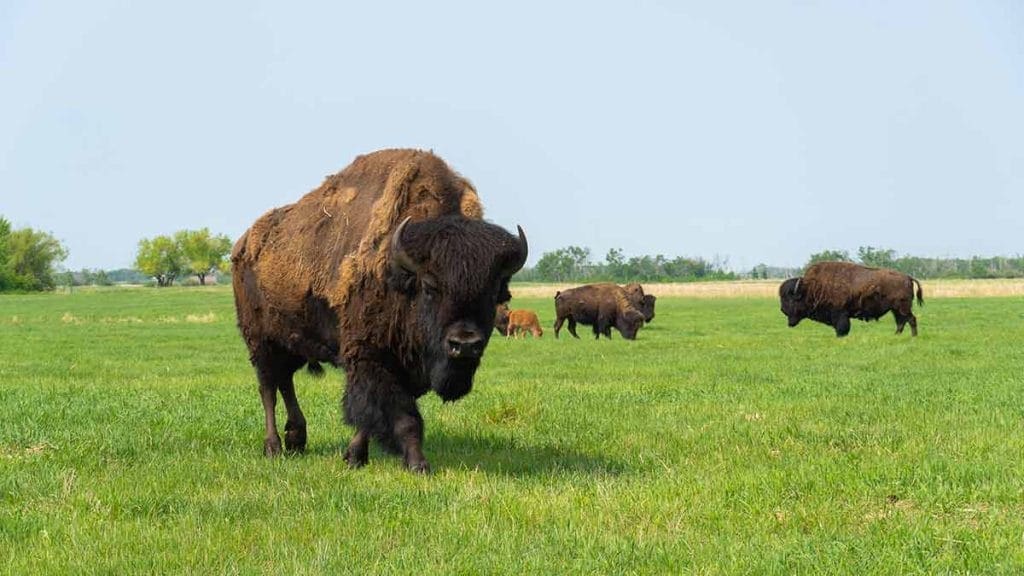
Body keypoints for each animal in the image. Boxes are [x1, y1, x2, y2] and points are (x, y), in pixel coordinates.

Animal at [232, 149, 527, 473]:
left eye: (494, 291)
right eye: (430, 286)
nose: (464, 344)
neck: (400, 276)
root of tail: (242, 245)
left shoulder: (405, 364)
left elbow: (371, 417)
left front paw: (354, 456)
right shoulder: (370, 357)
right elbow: (402, 416)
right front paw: (418, 464)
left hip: (292, 341)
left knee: (284, 381)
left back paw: (297, 439)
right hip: (261, 341)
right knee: (269, 389)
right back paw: (273, 447)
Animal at [779, 261, 923, 337]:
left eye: (791, 299)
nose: (782, 310)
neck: (812, 288)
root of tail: (908, 277)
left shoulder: (840, 314)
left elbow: (842, 328)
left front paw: (840, 336)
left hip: (902, 308)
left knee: (910, 319)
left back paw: (913, 336)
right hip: (896, 309)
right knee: (901, 322)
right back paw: (896, 335)